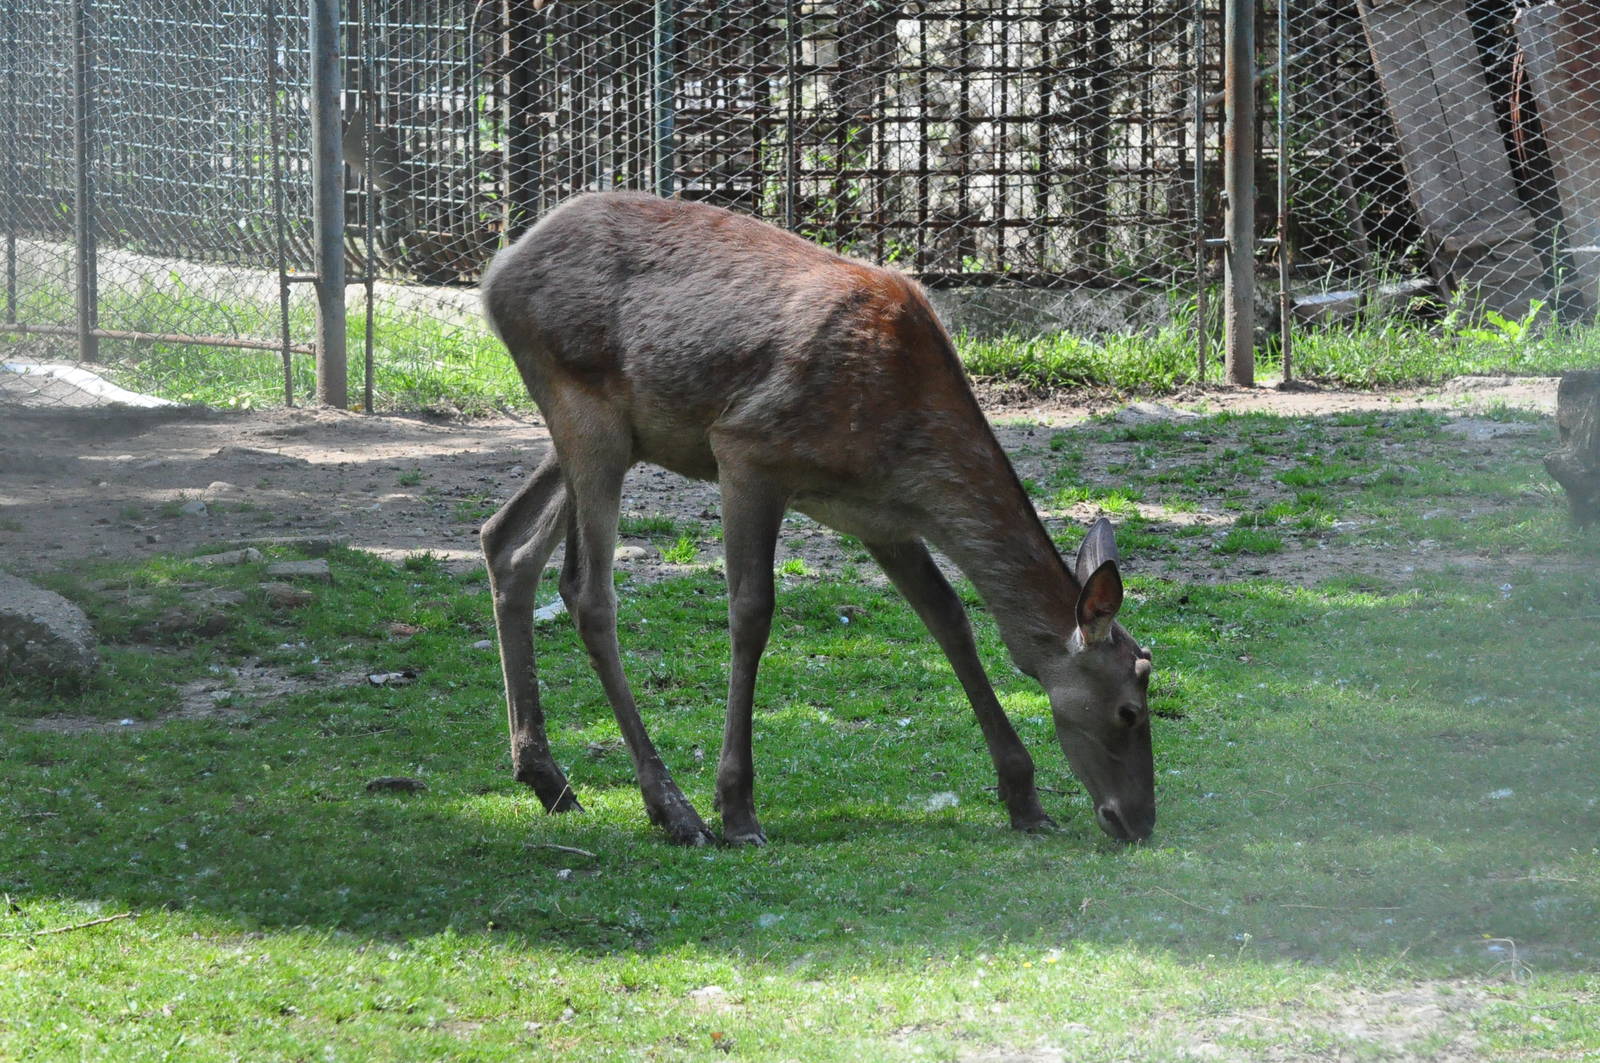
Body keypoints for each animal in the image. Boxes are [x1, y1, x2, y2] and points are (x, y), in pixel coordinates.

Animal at [479, 192, 1156, 847]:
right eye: (1129, 708)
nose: (1138, 821)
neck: (903, 445)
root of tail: (497, 273)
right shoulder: (746, 452)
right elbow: (751, 613)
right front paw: (737, 810)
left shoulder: (882, 518)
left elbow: (948, 618)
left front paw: (1026, 801)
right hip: (587, 411)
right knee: (587, 590)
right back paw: (674, 810)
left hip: (618, 432)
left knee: (506, 539)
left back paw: (547, 779)